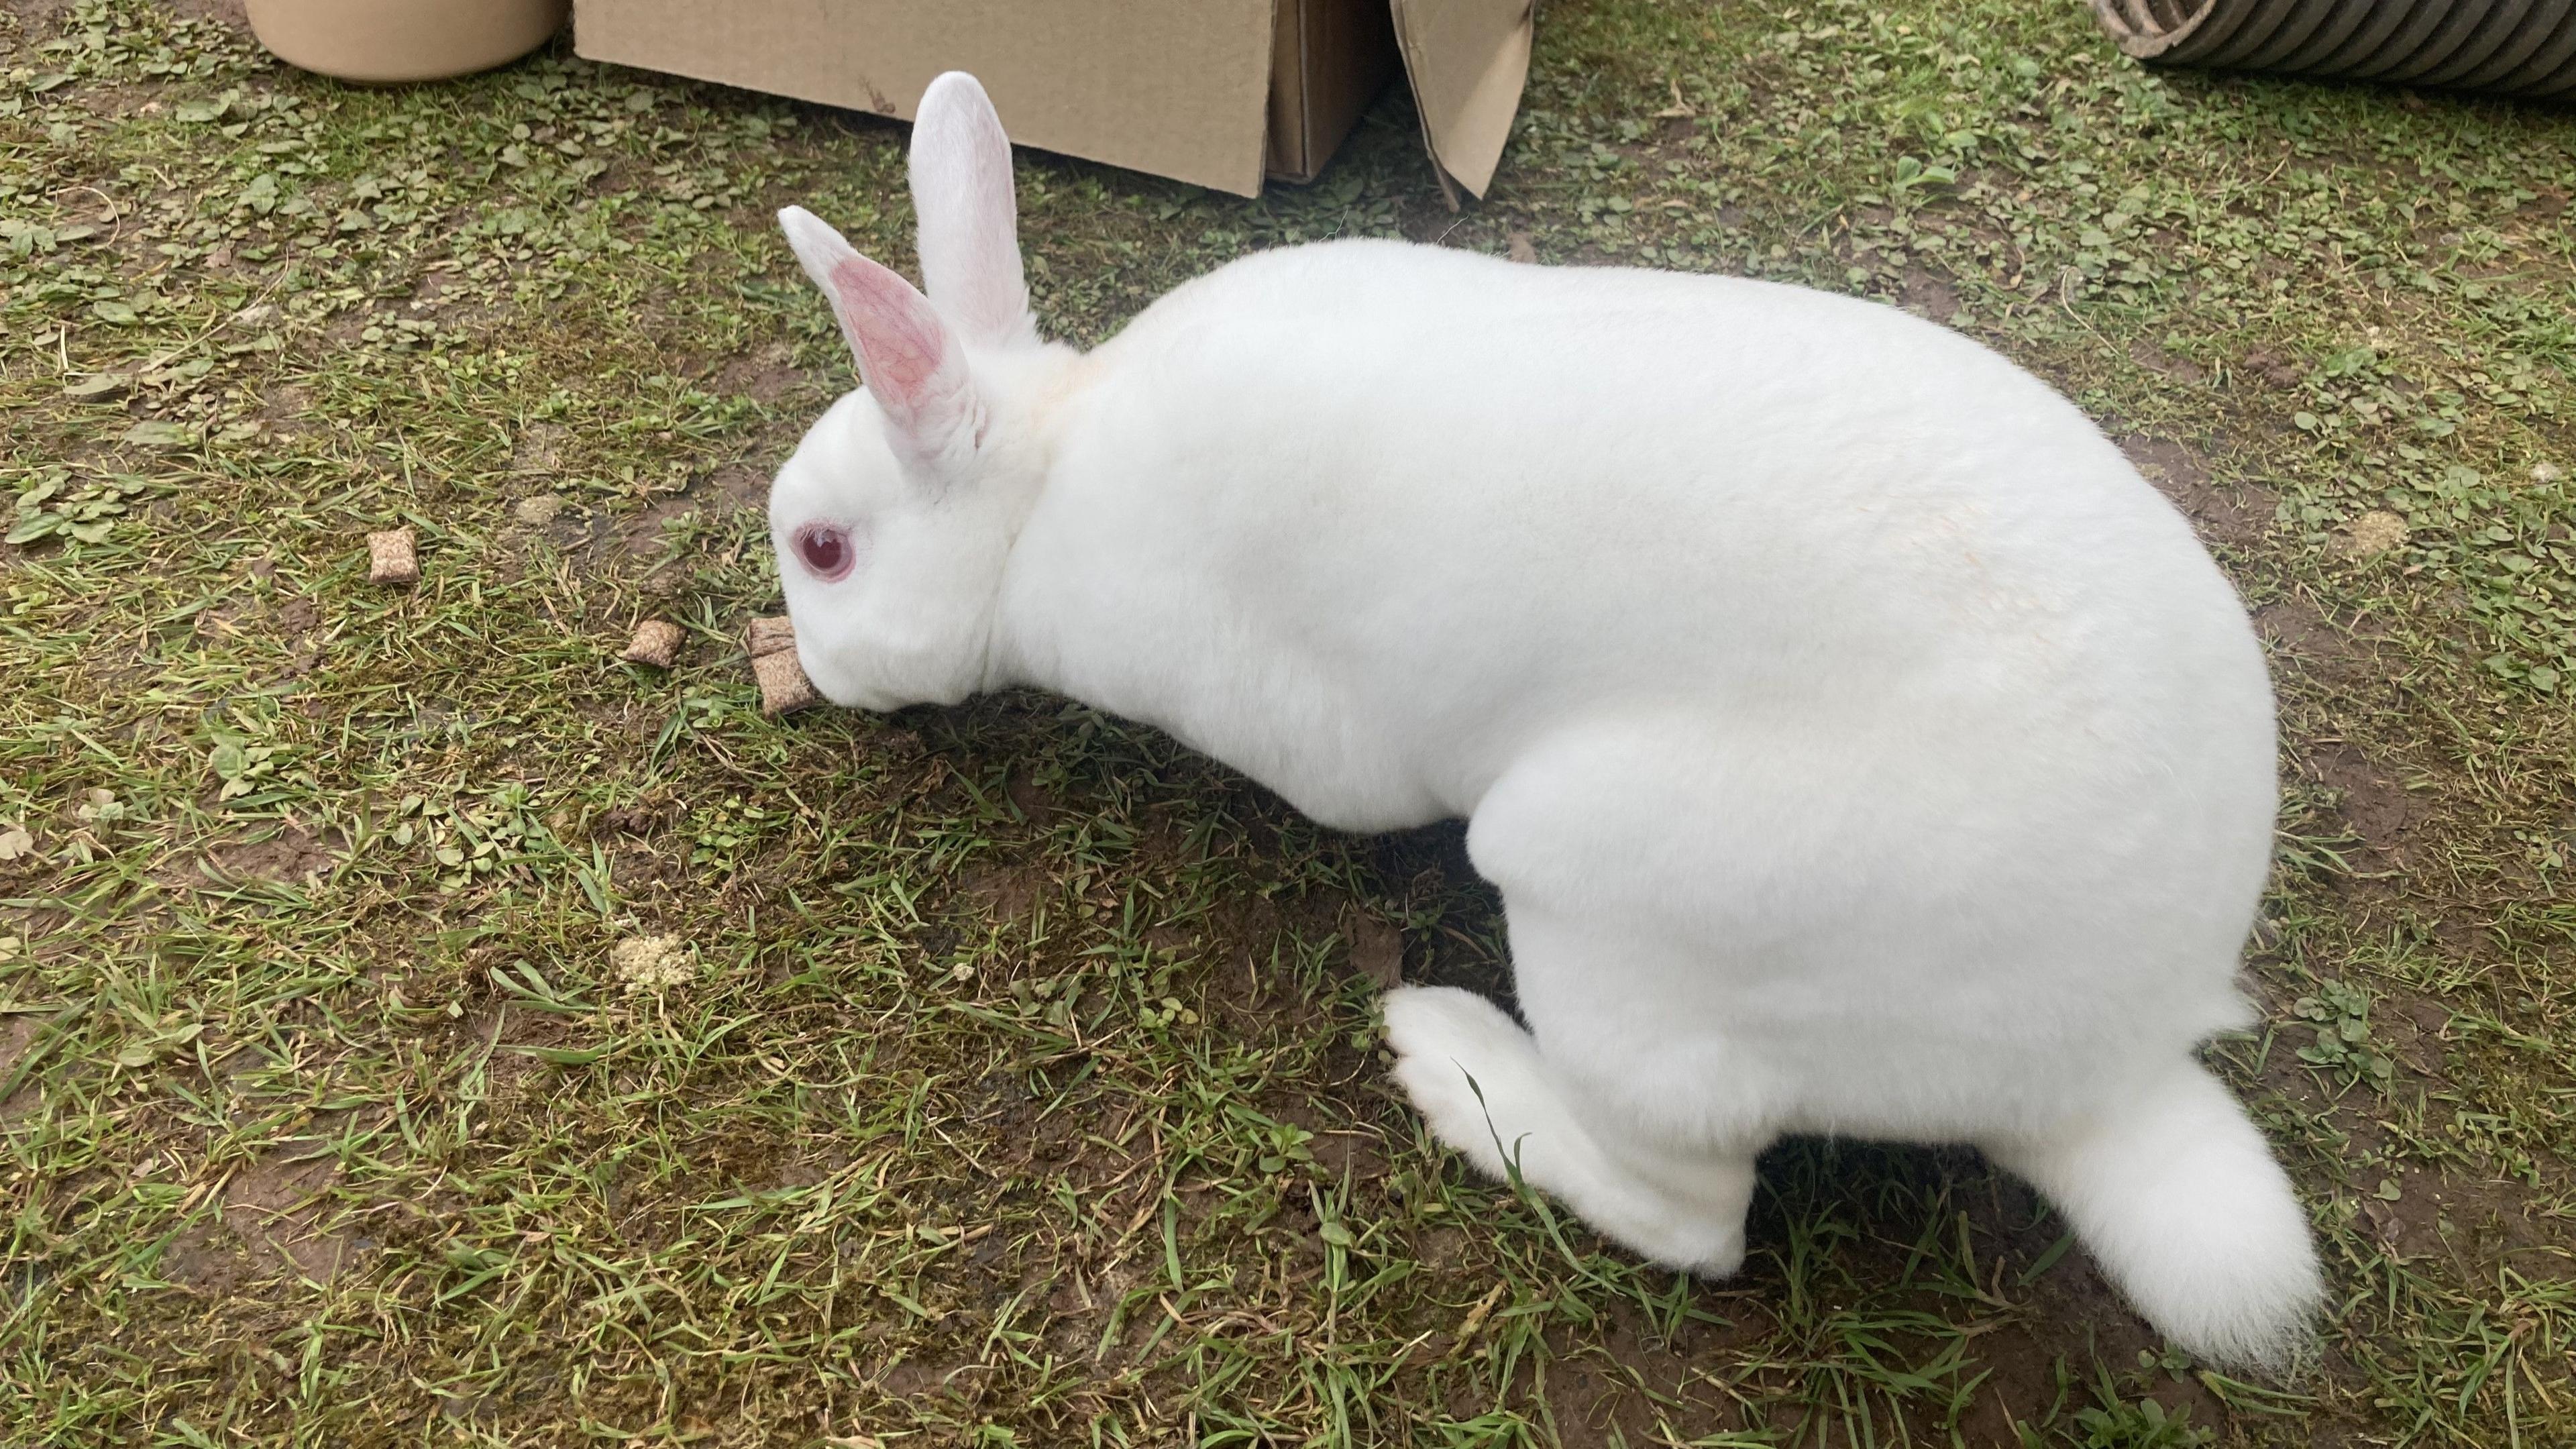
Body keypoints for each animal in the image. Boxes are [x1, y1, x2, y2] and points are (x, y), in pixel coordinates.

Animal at [773, 73, 2328, 1371]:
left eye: (824, 552)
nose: (803, 675)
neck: (1050, 480)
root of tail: (2111, 1056)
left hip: (1618, 916)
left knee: (1698, 1214)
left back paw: (1451, 1061)